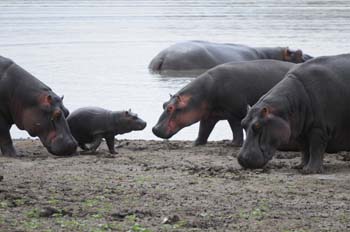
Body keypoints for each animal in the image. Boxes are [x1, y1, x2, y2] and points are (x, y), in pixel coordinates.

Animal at [152, 59, 296, 147]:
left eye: (171, 108)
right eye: (164, 104)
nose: (154, 128)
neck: (200, 95)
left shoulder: (235, 113)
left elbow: (236, 129)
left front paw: (232, 144)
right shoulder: (208, 115)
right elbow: (203, 130)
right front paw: (194, 143)